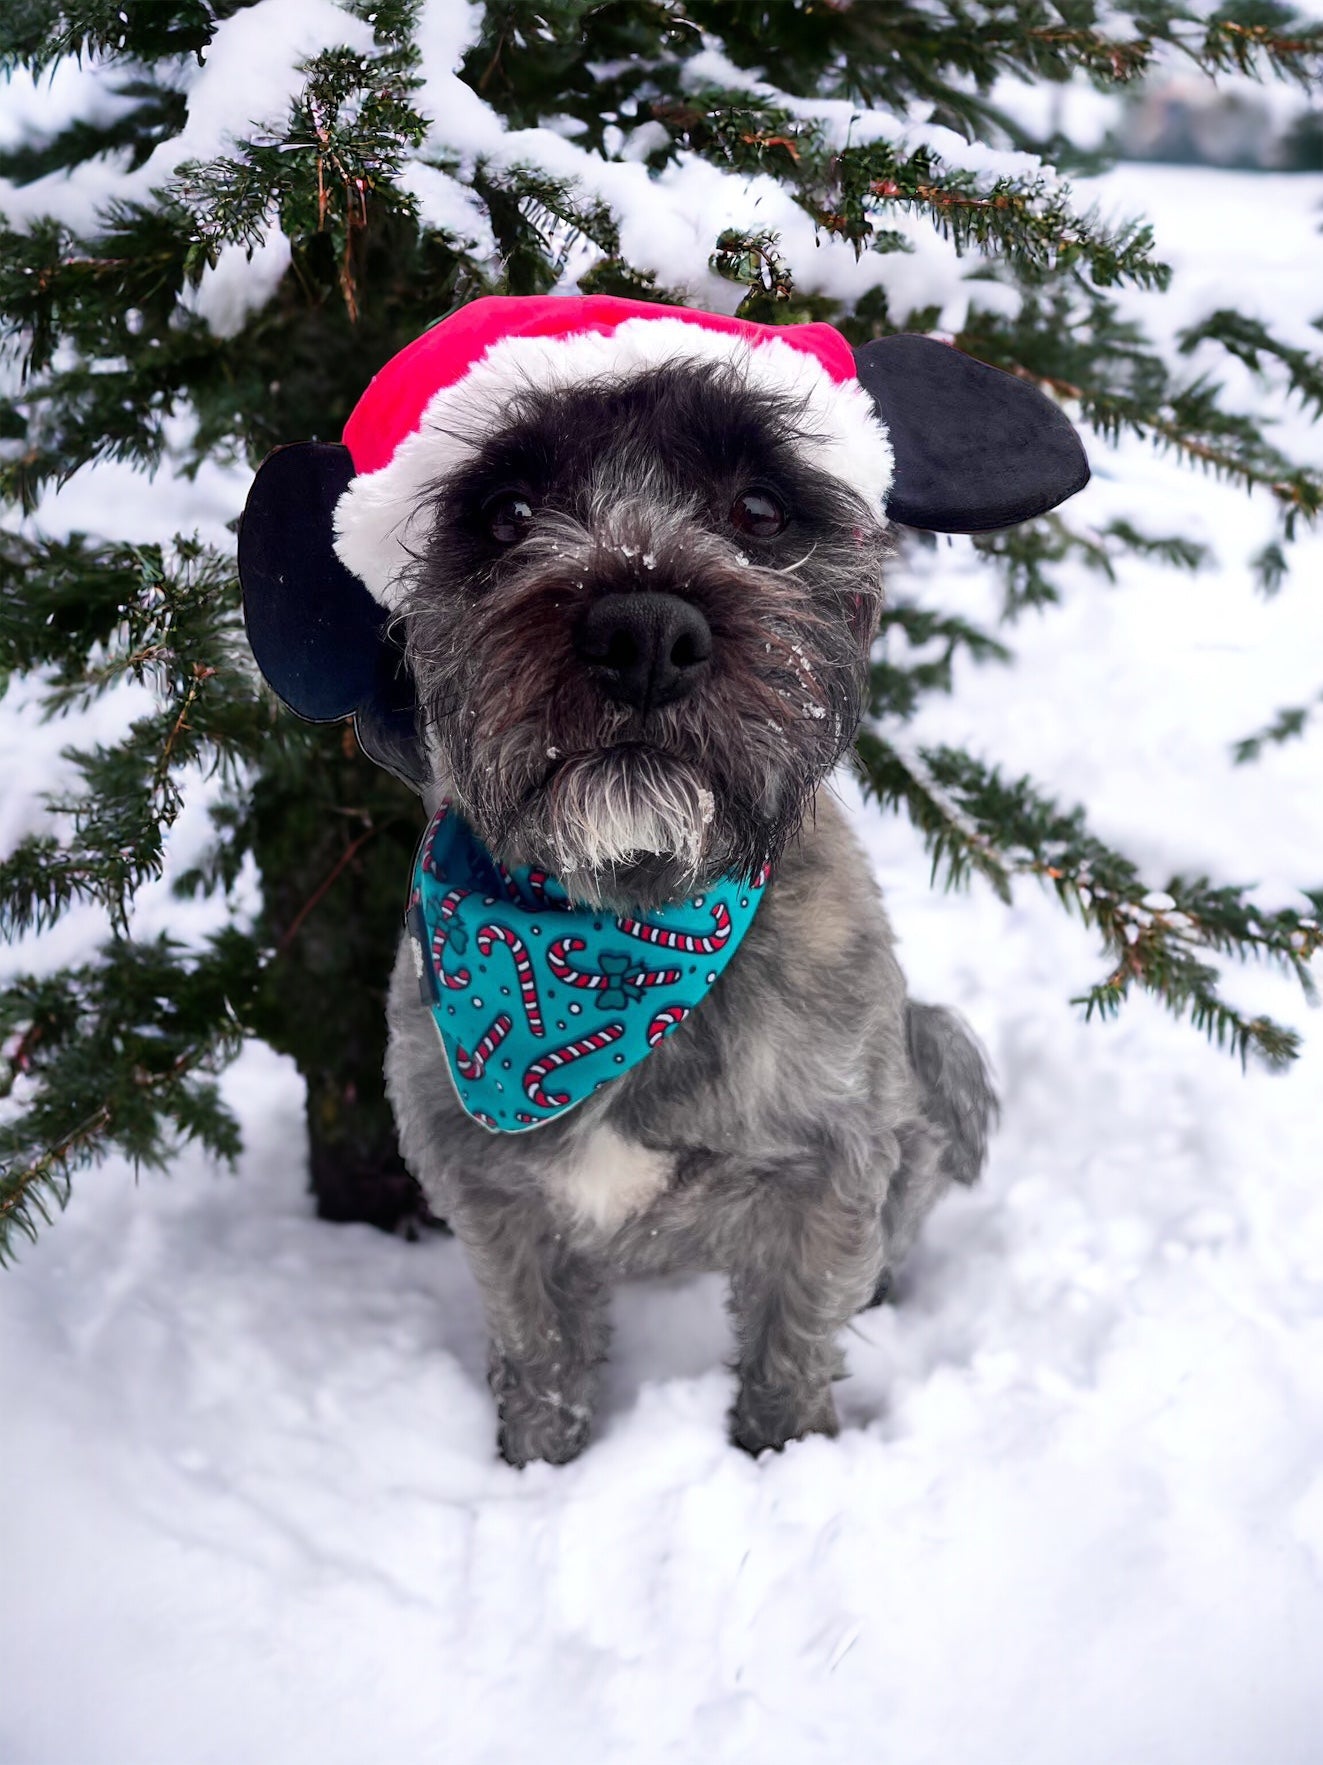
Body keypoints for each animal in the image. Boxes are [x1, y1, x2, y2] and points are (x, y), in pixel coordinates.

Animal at [238, 296, 1086, 1468]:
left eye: (761, 506)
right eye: (504, 511)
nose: (644, 631)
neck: (619, 933)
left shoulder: (828, 1172)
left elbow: (790, 1346)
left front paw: (784, 1460)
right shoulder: (494, 1200)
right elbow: (542, 1360)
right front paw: (535, 1472)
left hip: (940, 1053)